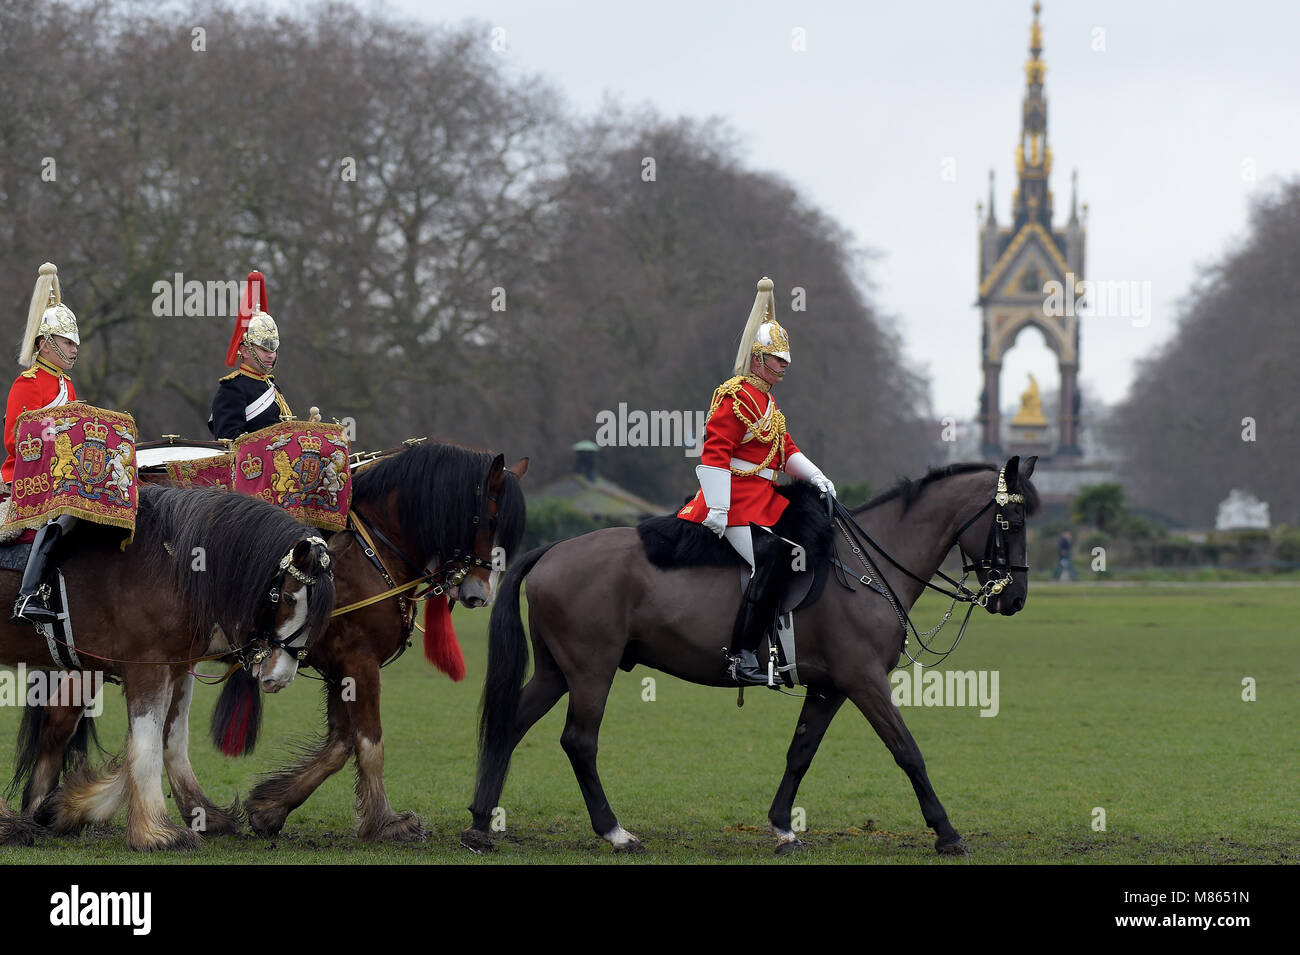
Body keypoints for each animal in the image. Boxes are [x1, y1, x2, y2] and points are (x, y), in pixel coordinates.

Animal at [1, 485, 335, 852]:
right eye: (289, 598)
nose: (280, 677)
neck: (172, 564)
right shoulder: (148, 666)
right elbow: (146, 744)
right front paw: (155, 831)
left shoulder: (176, 668)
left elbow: (168, 738)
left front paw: (72, 806)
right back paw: (10, 825)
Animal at [462, 457, 1040, 857]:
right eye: (1010, 523)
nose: (1014, 599)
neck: (865, 566)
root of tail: (553, 549)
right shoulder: (864, 680)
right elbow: (907, 750)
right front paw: (946, 831)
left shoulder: (831, 686)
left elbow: (800, 753)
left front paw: (783, 827)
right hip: (590, 670)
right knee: (579, 741)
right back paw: (614, 832)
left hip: (557, 671)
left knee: (511, 723)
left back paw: (479, 824)